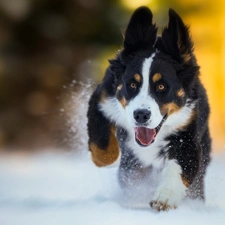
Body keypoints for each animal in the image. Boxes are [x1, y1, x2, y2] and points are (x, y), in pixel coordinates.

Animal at [86, 6, 211, 211]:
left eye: (161, 86)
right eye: (132, 84)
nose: (141, 115)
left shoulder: (188, 132)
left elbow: (180, 167)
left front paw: (165, 198)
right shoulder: (102, 98)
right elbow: (101, 142)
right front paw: (109, 160)